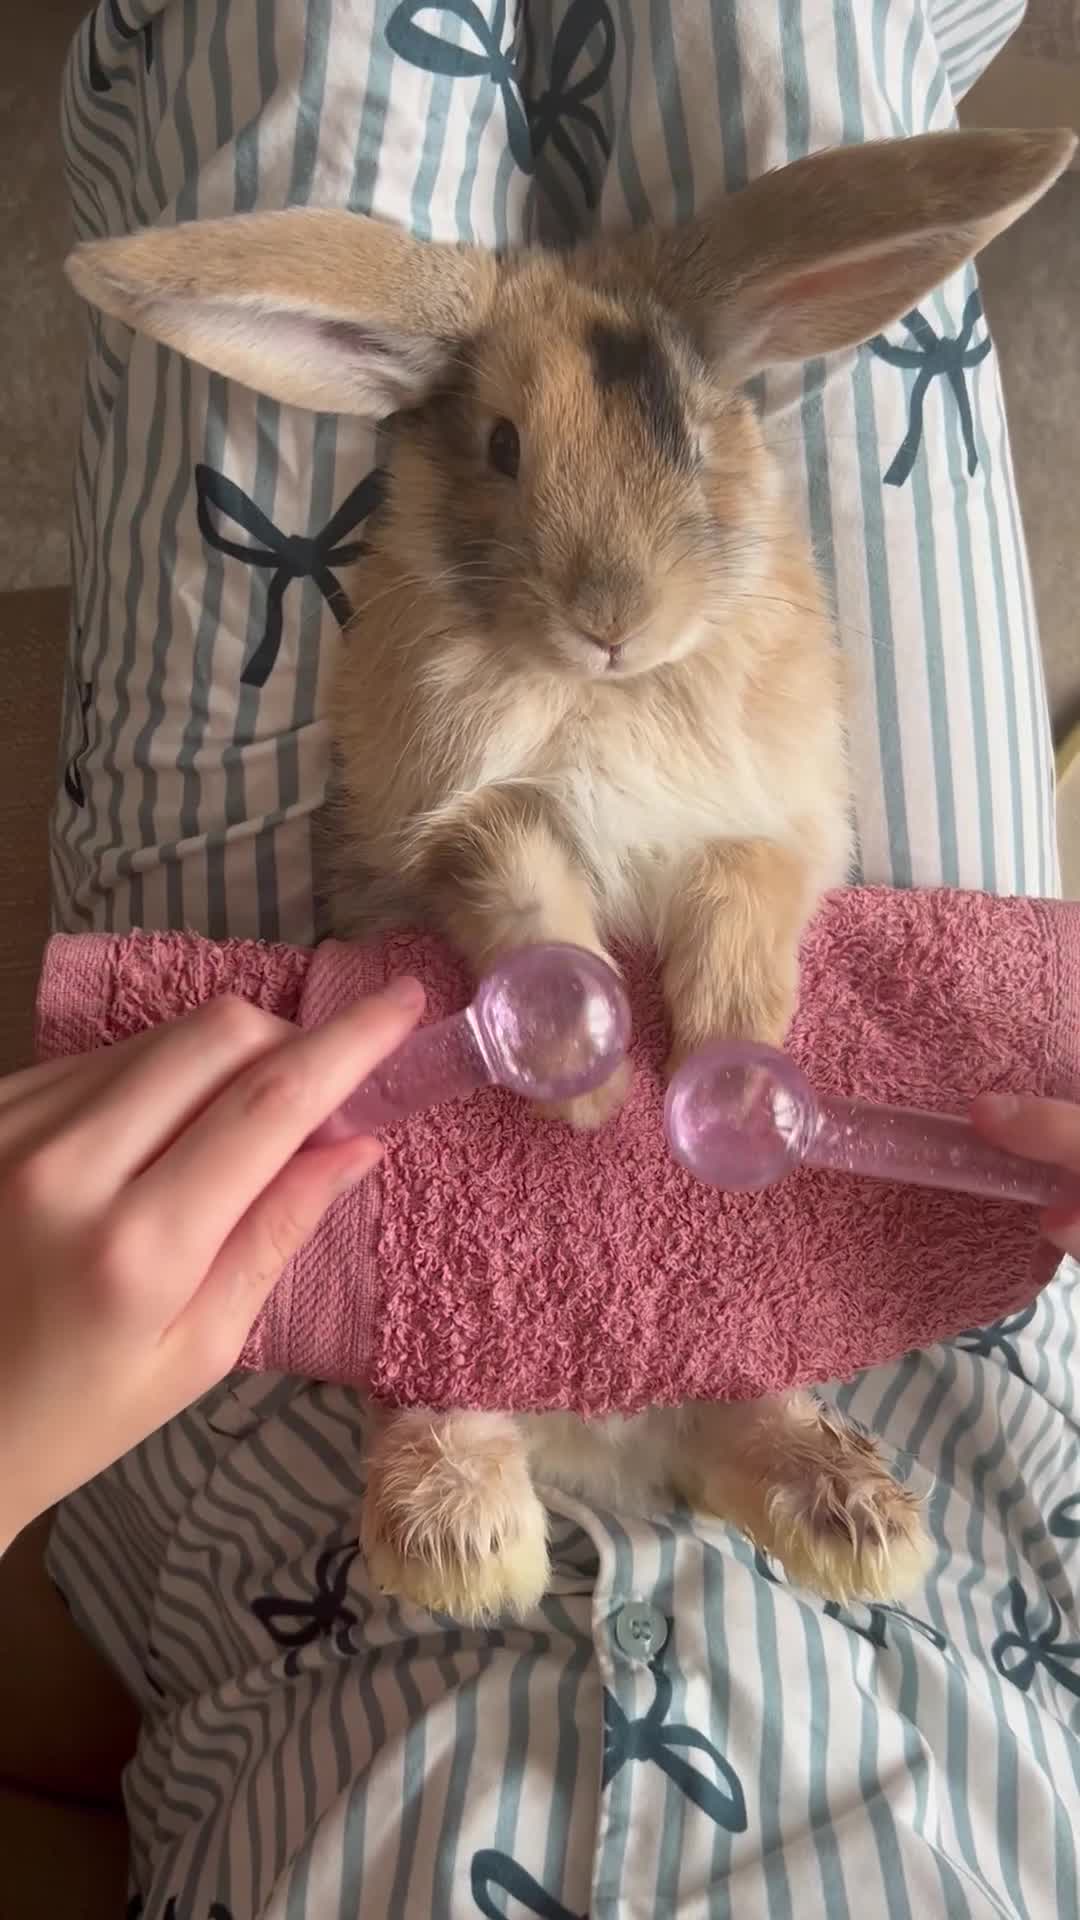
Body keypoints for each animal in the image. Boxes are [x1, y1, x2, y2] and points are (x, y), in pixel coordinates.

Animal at [68, 126, 1076, 1625]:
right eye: (501, 445)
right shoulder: (455, 828)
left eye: (691, 436)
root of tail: (611, 1441)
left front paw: (724, 1072)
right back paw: (460, 1550)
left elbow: (739, 916)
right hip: (447, 1345)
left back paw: (854, 1520)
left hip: (745, 1355)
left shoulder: (768, 832)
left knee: (749, 1408)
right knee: (456, 1412)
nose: (615, 618)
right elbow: (533, 897)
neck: (608, 690)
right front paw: (592, 1086)